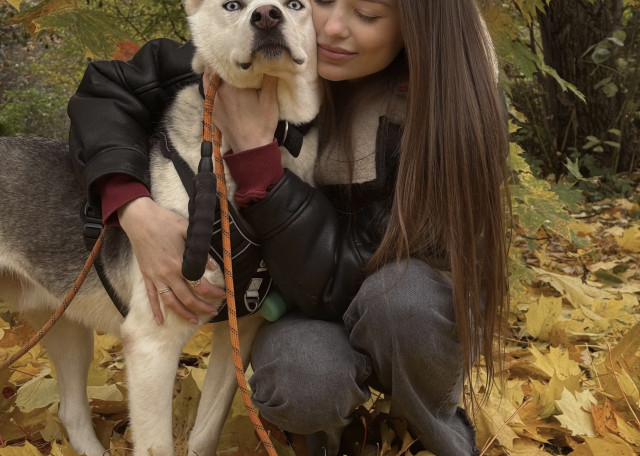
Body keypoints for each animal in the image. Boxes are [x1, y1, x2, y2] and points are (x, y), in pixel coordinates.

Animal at [0, 0, 320, 454]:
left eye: (297, 6)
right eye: (232, 6)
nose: (267, 16)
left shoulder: (240, 332)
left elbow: (205, 432)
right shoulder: (151, 345)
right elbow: (157, 444)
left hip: (65, 326)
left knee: (71, 412)